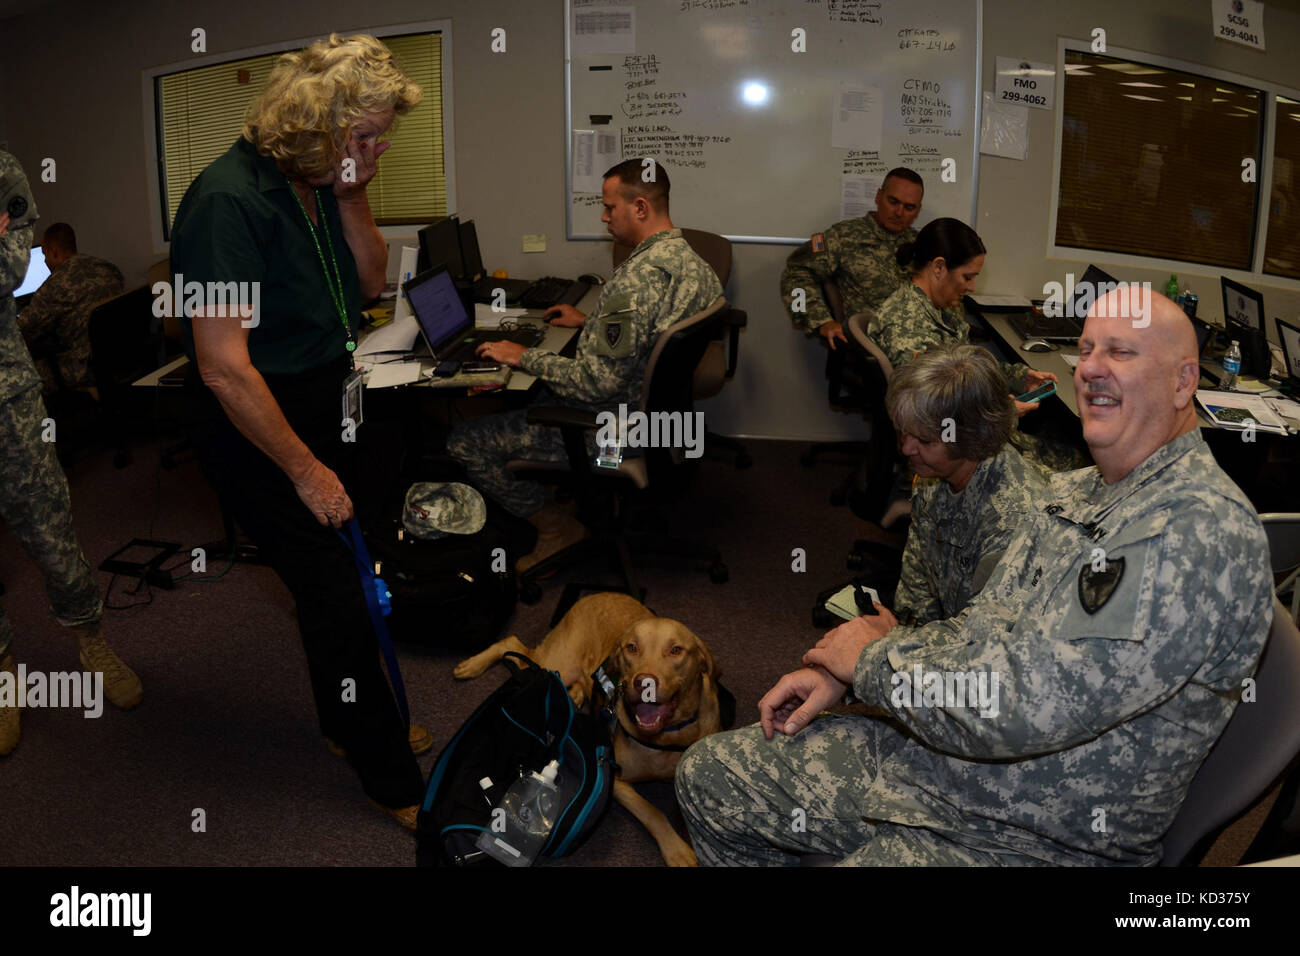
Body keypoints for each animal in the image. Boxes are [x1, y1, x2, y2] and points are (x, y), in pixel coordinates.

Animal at [454, 590, 722, 868]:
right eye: (632, 648)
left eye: (676, 650)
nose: (643, 682)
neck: (666, 736)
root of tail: (600, 592)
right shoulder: (617, 783)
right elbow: (652, 811)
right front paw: (676, 849)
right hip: (556, 660)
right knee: (513, 643)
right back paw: (472, 665)